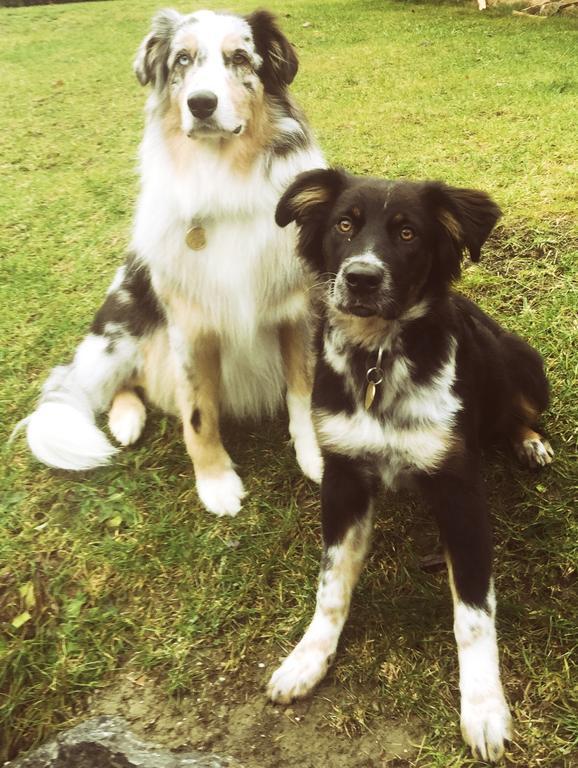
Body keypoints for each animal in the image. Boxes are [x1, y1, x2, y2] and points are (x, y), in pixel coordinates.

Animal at [268, 168, 552, 760]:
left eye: (407, 234)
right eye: (344, 225)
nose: (360, 279)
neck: (379, 358)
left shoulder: (459, 489)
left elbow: (473, 615)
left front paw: (484, 709)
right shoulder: (343, 478)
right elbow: (331, 584)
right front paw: (307, 659)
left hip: (521, 366)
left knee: (516, 411)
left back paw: (529, 442)